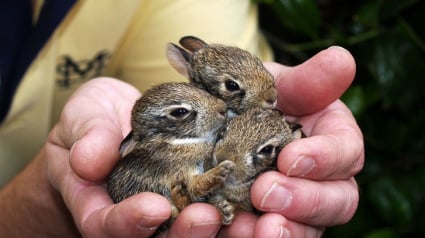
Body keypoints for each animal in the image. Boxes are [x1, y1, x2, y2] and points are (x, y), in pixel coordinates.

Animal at [104, 82, 234, 233]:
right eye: (180, 112)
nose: (223, 108)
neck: (174, 141)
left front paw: (225, 210)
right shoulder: (180, 171)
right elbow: (196, 185)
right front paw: (222, 170)